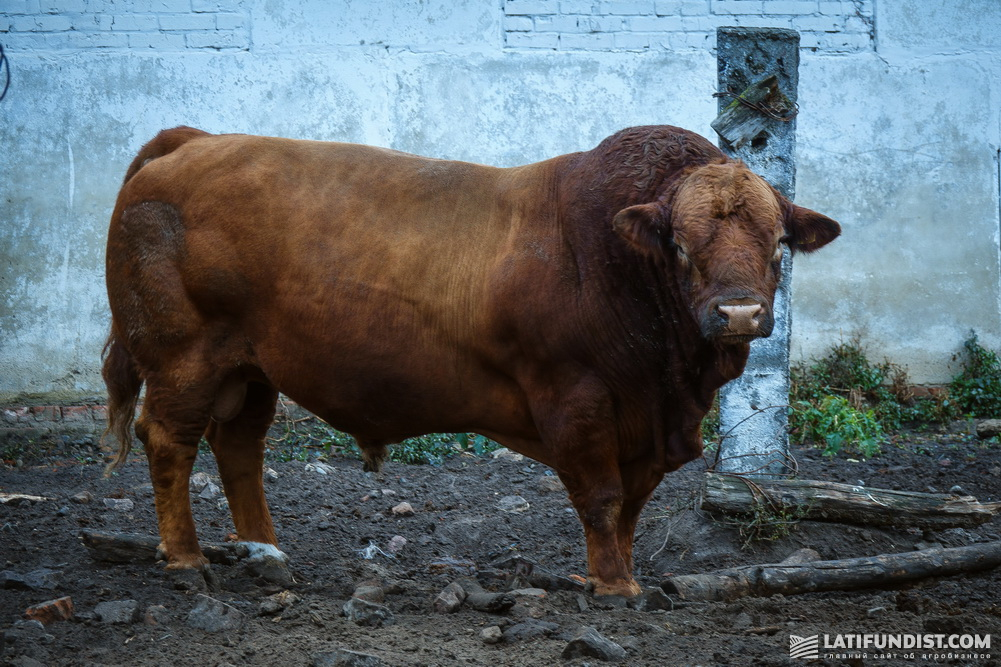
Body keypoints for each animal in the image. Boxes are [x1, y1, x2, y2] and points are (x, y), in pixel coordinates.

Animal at [103, 123, 836, 592]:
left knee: (239, 447)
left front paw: (616, 574)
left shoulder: (647, 426)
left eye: (777, 244)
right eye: (681, 246)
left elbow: (630, 505)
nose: (738, 313)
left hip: (251, 369)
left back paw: (267, 550)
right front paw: (612, 586)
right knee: (168, 440)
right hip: (184, 359)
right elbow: (601, 497)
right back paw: (187, 559)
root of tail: (193, 141)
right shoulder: (575, 398)